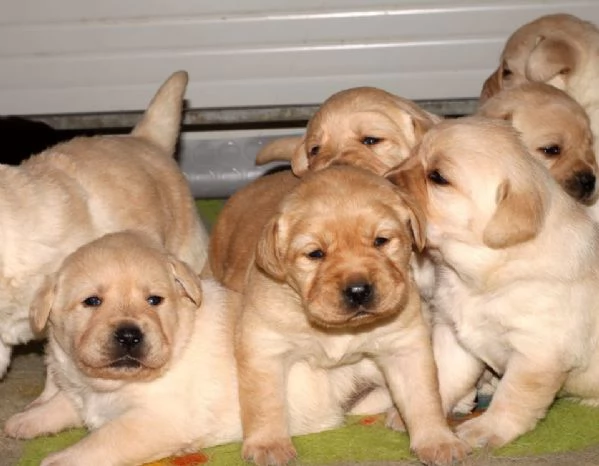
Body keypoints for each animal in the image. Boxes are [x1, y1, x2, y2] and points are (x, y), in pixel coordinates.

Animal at [2, 232, 384, 466]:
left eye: (154, 300)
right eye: (91, 301)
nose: (129, 335)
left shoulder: (156, 420)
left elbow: (103, 440)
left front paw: (60, 459)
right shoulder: (85, 391)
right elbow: (64, 403)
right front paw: (25, 420)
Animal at [386, 115, 599, 448]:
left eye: (438, 177)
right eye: (413, 153)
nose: (383, 179)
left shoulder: (537, 352)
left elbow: (512, 397)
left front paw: (485, 429)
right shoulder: (453, 335)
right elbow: (442, 377)